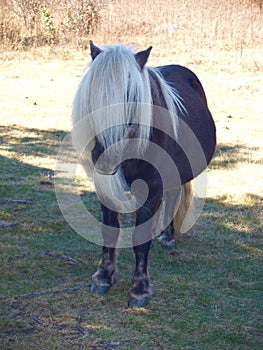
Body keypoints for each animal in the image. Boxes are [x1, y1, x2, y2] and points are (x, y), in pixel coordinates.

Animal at [72, 41, 217, 306]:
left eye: (132, 96)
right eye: (93, 96)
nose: (106, 157)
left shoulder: (152, 187)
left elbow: (140, 238)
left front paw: (139, 289)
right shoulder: (105, 188)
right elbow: (110, 230)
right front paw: (103, 277)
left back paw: (168, 238)